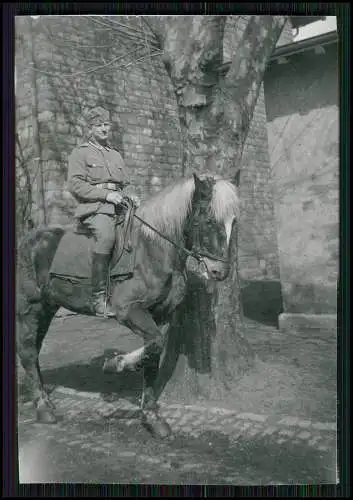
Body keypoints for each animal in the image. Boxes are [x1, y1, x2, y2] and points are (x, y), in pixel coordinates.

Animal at [17, 172, 241, 438]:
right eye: (207, 220)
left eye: (233, 222)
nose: (220, 271)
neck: (152, 251)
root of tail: (24, 242)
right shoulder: (129, 311)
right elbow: (154, 344)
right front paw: (115, 364)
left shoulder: (159, 316)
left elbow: (153, 355)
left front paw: (152, 417)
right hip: (29, 308)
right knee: (28, 352)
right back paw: (43, 408)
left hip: (46, 309)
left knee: (34, 351)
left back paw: (46, 401)